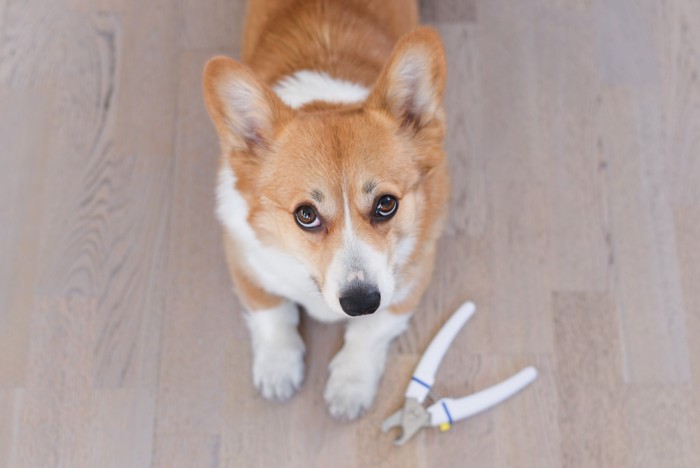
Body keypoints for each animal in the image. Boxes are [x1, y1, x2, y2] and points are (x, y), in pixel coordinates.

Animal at [202, 0, 448, 420]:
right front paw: (279, 370)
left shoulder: (411, 279)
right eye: (306, 215)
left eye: (386, 204)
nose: (361, 303)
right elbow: (272, 311)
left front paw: (350, 386)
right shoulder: (243, 257)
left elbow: (371, 332)